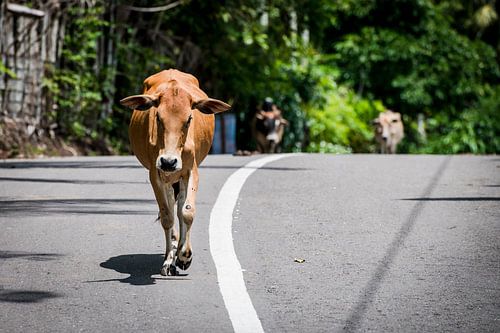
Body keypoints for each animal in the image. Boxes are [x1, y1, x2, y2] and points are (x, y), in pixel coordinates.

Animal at [120, 68, 231, 274]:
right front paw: (169, 259)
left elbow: (186, 211)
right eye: (158, 117)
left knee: (179, 207)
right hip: (168, 178)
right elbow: (166, 216)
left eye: (189, 119)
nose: (169, 161)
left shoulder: (190, 171)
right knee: (171, 207)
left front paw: (185, 255)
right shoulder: (156, 174)